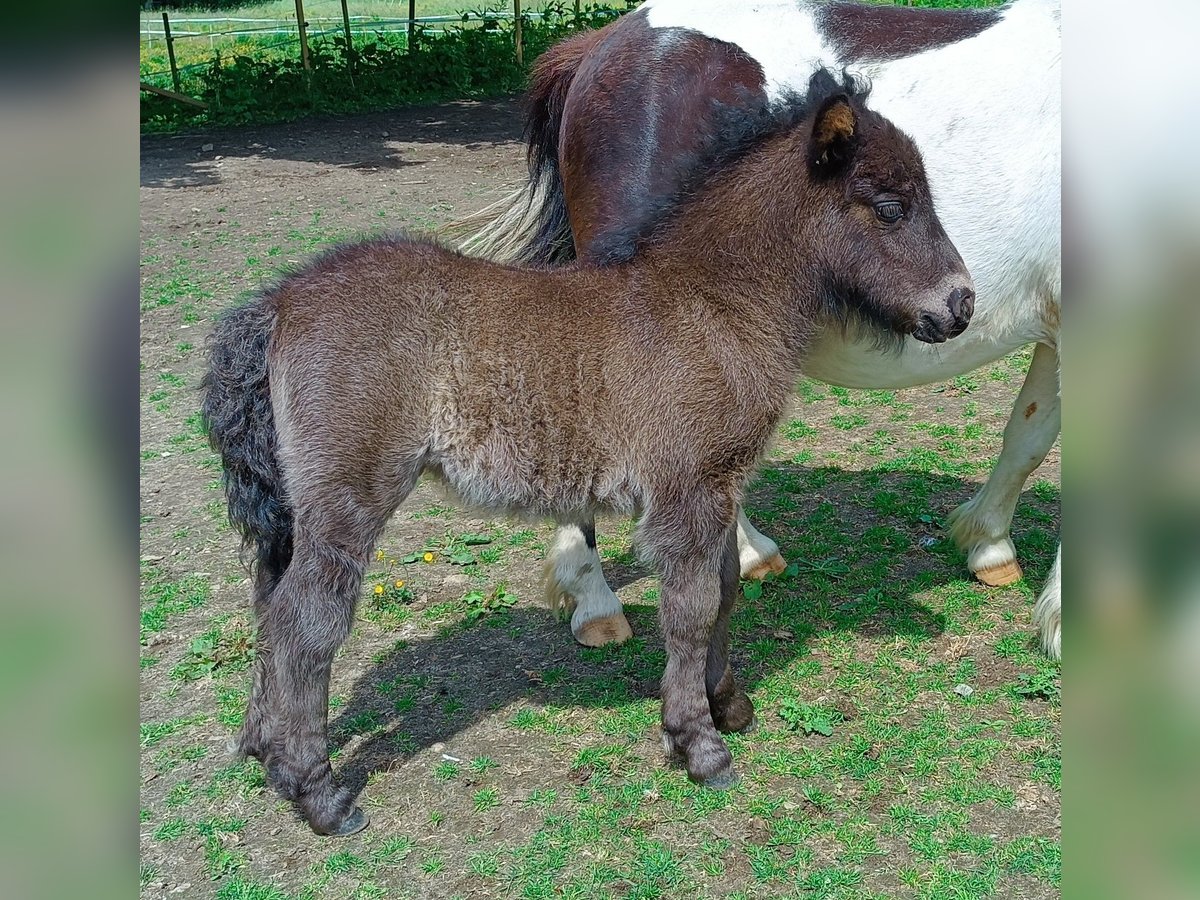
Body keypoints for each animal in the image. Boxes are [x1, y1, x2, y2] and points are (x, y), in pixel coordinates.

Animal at [204, 72, 974, 840]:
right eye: (890, 207)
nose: (961, 305)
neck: (716, 302)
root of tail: (281, 300)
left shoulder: (719, 487)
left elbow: (725, 588)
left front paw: (726, 703)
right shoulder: (688, 491)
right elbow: (691, 605)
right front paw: (698, 746)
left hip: (294, 507)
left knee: (268, 605)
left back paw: (264, 750)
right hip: (350, 495)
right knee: (306, 623)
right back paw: (318, 793)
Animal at [463, 0, 1065, 662]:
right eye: (889, 209)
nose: (961, 305)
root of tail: (605, 44)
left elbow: (1029, 436)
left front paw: (989, 544)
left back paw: (747, 552)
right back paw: (596, 602)